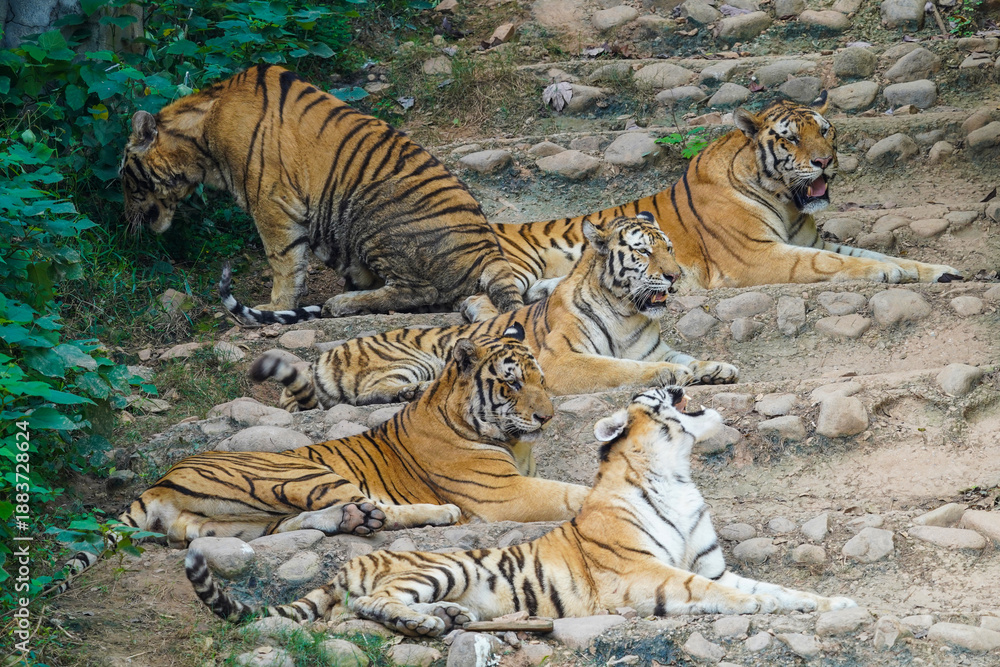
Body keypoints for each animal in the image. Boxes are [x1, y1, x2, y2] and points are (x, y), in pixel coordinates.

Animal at [44, 329, 588, 596]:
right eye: (511, 383)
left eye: (541, 379)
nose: (548, 415)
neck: (513, 442)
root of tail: (160, 480)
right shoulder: (505, 492)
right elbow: (570, 492)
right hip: (301, 473)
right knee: (374, 508)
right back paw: (431, 514)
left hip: (231, 525)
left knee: (301, 522)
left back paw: (354, 519)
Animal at [120, 63, 523, 317]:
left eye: (124, 176)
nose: (125, 222)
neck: (200, 137)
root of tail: (489, 249)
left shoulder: (269, 201)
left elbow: (283, 260)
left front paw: (275, 306)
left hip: (373, 216)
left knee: (420, 290)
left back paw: (343, 303)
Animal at [186, 385, 856, 634]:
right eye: (650, 396)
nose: (676, 381)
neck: (678, 474)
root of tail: (351, 563)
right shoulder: (648, 574)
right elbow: (737, 595)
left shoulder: (710, 566)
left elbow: (766, 587)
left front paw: (833, 603)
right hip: (440, 566)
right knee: (369, 606)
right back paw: (428, 624)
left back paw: (449, 617)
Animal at [237, 213, 739, 410]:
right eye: (644, 253)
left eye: (669, 247)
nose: (674, 276)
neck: (628, 312)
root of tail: (322, 356)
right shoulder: (564, 360)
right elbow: (621, 369)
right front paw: (668, 375)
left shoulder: (656, 345)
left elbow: (687, 358)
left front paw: (716, 367)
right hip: (411, 358)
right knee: (365, 395)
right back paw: (414, 391)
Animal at [488, 95, 962, 299]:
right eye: (792, 139)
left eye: (826, 131)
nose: (826, 161)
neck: (787, 203)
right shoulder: (758, 256)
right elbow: (834, 263)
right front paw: (887, 275)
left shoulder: (809, 240)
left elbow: (878, 254)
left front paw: (941, 271)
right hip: (511, 269)